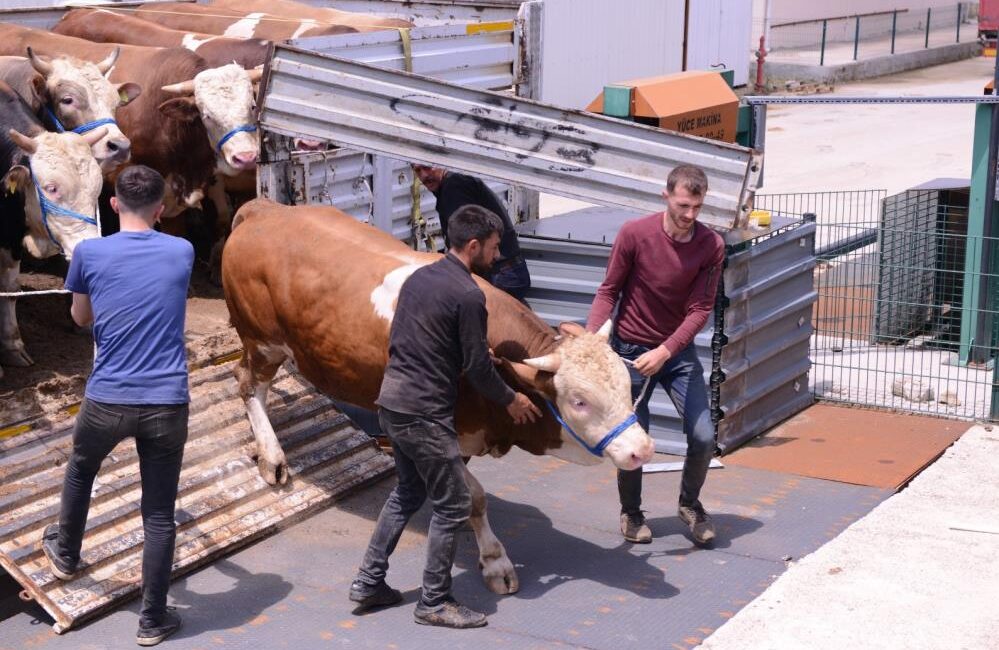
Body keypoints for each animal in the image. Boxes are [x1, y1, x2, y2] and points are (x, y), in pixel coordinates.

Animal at [221, 199, 656, 592]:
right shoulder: (442, 430)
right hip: (262, 341)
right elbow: (474, 497)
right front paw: (495, 562)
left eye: (625, 384)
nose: (643, 449)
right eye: (580, 401)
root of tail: (265, 210)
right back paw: (272, 457)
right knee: (247, 382)